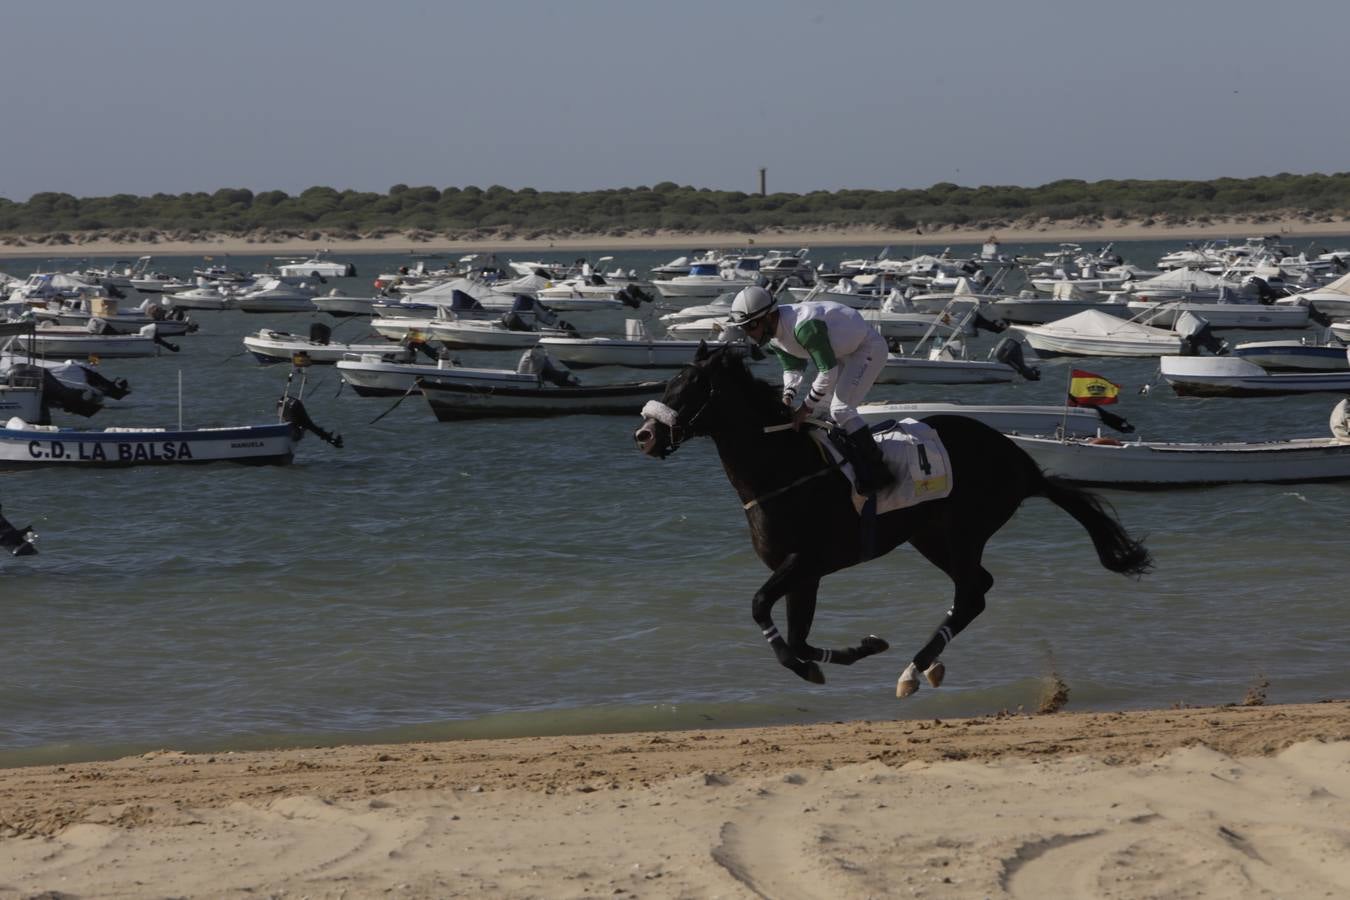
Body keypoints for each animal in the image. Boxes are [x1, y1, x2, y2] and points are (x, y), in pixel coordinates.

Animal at [631, 345, 1150, 696]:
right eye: (668, 383)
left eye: (689, 387)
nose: (644, 436)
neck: (784, 469)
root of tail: (1021, 463)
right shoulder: (805, 573)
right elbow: (800, 637)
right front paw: (860, 647)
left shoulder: (805, 561)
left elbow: (761, 608)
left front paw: (805, 667)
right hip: (931, 537)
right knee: (976, 590)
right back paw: (923, 665)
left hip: (963, 531)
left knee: (971, 594)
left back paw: (914, 670)